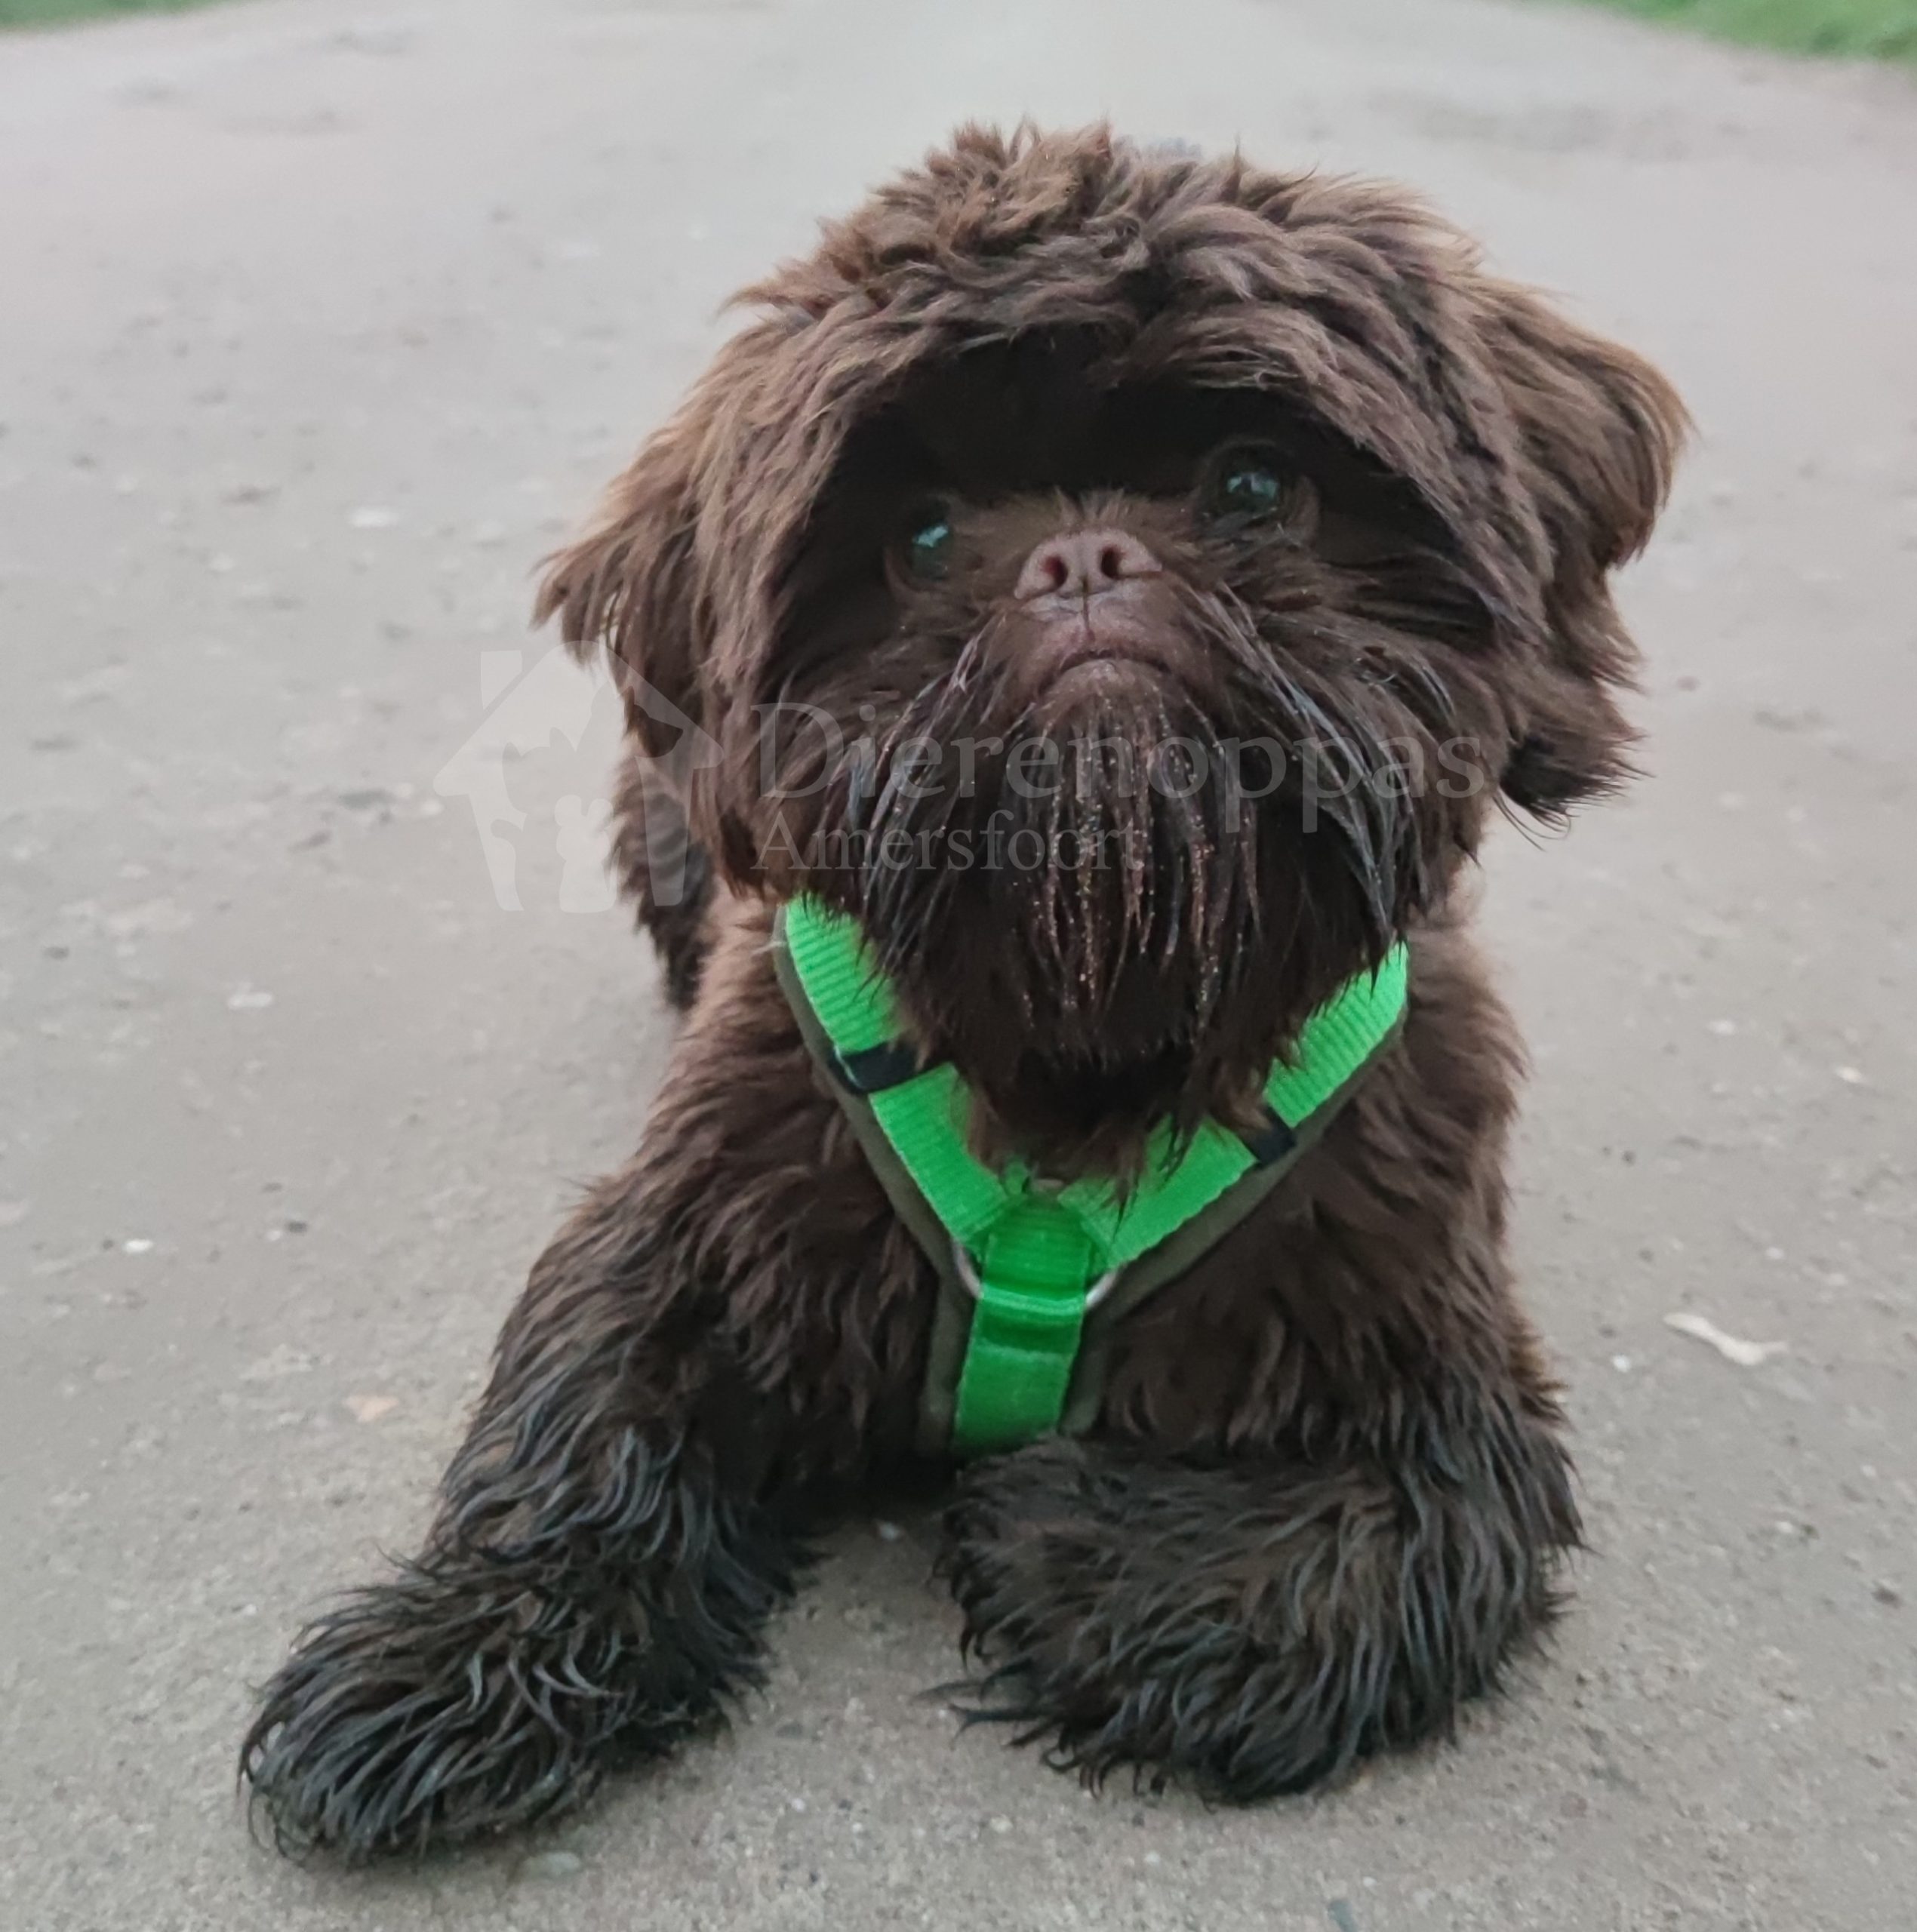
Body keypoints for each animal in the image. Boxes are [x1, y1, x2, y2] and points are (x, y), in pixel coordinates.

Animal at [235, 125, 1677, 1854]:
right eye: (920, 537)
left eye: (1256, 483)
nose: (1082, 557)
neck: (1092, 1031)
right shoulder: (697, 1226)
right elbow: (584, 1421)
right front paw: (455, 1653)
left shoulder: (1436, 1390)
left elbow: (1334, 1570)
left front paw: (1043, 1515)